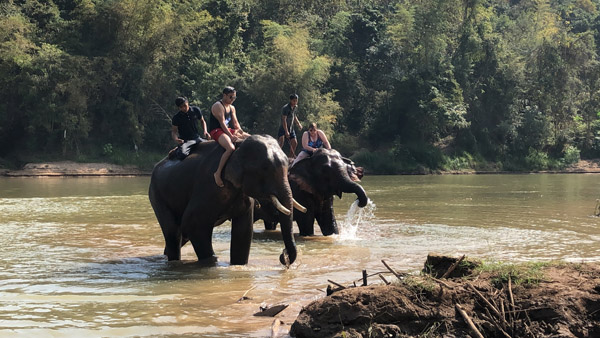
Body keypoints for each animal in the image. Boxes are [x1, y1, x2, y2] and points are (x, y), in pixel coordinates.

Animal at [150, 135, 300, 266]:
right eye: (265, 168)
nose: (284, 256)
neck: (237, 146)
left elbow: (243, 231)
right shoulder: (208, 186)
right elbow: (193, 224)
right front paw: (211, 263)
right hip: (157, 195)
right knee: (173, 232)